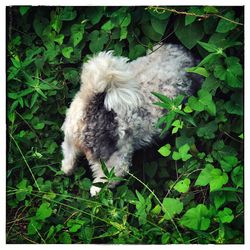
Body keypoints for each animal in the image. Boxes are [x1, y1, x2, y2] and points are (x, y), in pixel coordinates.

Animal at [61, 44, 200, 196]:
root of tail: (94, 103)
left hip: (70, 138)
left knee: (68, 159)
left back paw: (67, 170)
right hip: (115, 160)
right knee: (106, 181)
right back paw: (97, 192)